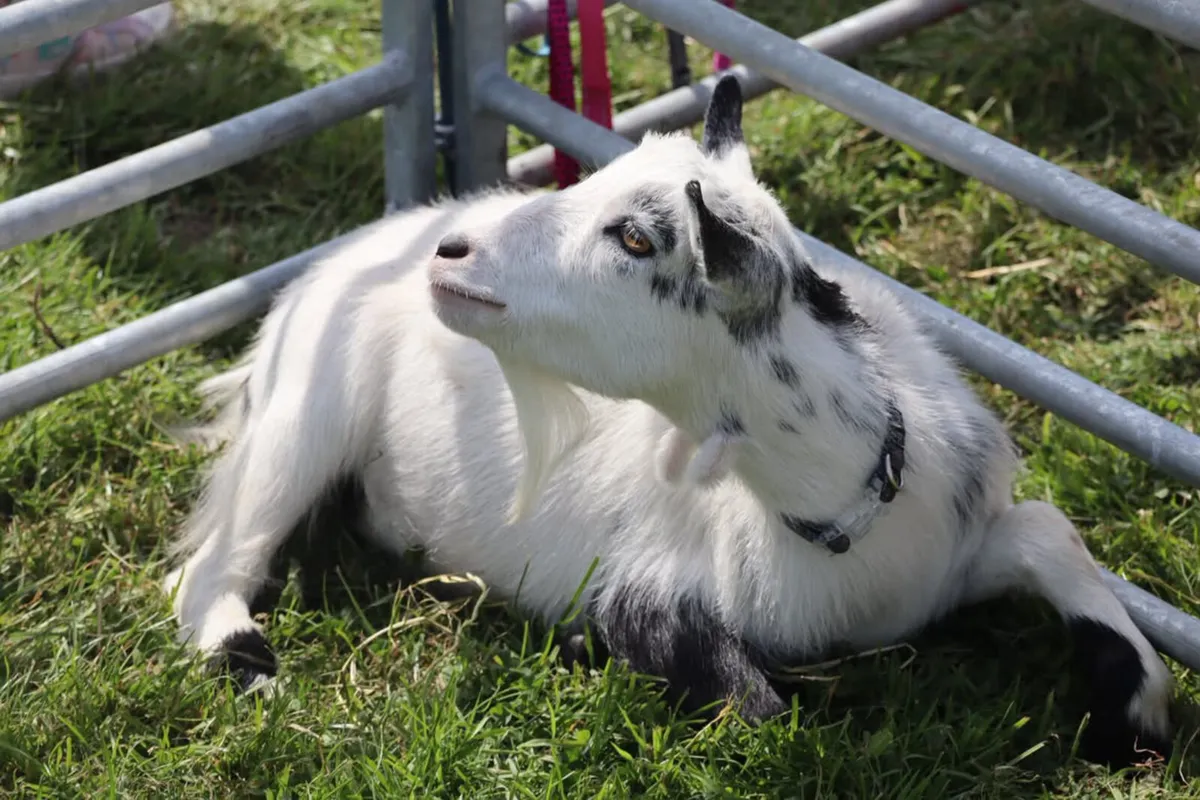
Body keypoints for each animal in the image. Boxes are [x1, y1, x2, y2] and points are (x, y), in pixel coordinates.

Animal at [164, 75, 1174, 767]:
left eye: (638, 237)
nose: (453, 257)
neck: (838, 524)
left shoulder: (951, 544)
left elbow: (1045, 530)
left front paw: (1136, 714)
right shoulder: (650, 587)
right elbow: (755, 708)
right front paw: (584, 648)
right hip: (308, 412)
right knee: (217, 562)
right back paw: (248, 662)